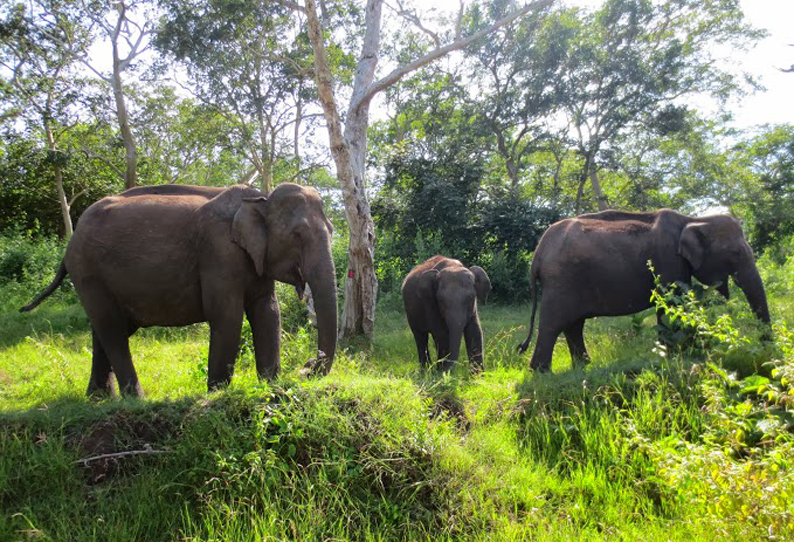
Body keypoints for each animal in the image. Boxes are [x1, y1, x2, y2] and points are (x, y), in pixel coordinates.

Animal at [20, 184, 338, 400]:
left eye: (332, 230)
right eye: (297, 235)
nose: (308, 367)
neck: (260, 198)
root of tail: (69, 244)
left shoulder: (254, 259)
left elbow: (268, 312)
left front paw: (271, 388)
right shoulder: (218, 254)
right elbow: (227, 317)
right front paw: (218, 394)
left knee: (104, 330)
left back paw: (99, 400)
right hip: (88, 273)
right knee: (111, 329)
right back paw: (136, 400)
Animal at [512, 208, 768, 374]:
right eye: (735, 253)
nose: (764, 349)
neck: (693, 219)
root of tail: (537, 254)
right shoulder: (668, 261)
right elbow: (672, 304)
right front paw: (675, 356)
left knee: (573, 325)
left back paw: (583, 367)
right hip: (561, 281)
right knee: (554, 324)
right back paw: (542, 373)